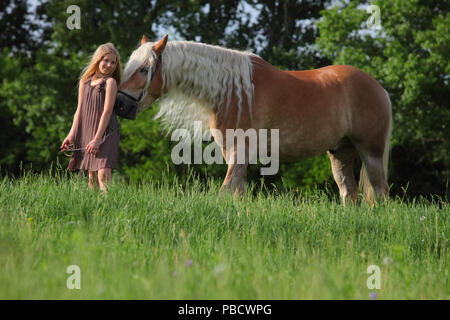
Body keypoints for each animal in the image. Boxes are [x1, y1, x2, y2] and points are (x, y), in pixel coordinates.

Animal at [118, 34, 390, 205]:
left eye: (144, 69)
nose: (120, 104)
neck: (232, 92)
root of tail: (379, 88)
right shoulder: (233, 154)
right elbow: (238, 192)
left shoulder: (240, 151)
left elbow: (226, 190)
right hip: (340, 153)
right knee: (349, 193)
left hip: (371, 152)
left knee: (380, 193)